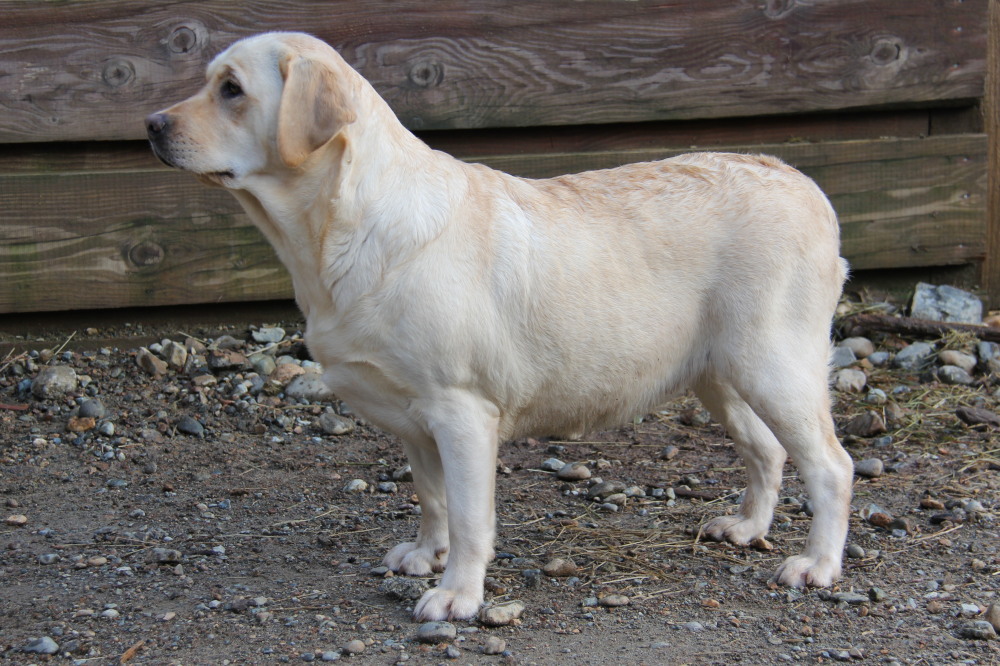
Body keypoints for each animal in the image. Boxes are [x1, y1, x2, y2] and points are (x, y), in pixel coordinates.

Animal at [146, 31, 852, 620]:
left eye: (231, 89)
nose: (151, 124)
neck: (343, 228)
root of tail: (799, 179)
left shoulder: (462, 412)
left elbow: (468, 517)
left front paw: (457, 593)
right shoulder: (416, 418)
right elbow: (432, 499)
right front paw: (424, 556)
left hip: (773, 366)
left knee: (831, 466)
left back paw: (817, 564)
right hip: (718, 374)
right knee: (767, 450)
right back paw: (747, 529)